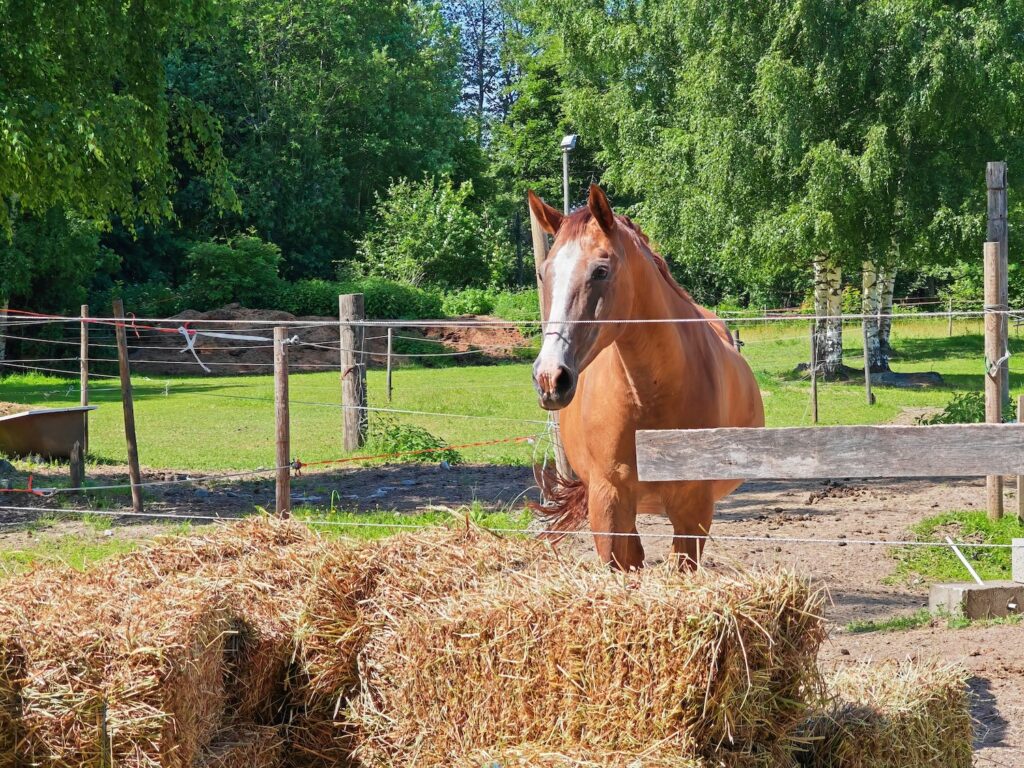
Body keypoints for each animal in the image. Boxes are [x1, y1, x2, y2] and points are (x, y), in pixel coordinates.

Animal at [528, 185, 761, 573]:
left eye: (601, 271)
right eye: (544, 273)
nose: (550, 377)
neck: (649, 395)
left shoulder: (693, 509)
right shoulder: (608, 503)